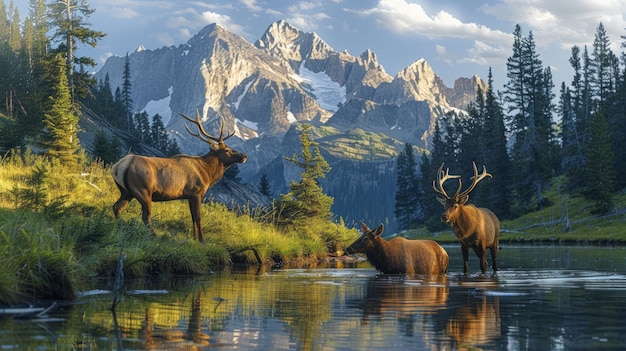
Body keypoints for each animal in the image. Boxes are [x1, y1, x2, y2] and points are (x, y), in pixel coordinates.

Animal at [111, 113, 247, 242]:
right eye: (227, 150)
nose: (244, 156)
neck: (207, 174)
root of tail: (118, 166)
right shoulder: (196, 193)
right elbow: (198, 217)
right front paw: (202, 240)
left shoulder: (189, 196)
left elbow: (192, 217)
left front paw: (194, 239)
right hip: (143, 190)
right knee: (145, 216)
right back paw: (154, 236)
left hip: (127, 191)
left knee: (117, 207)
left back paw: (120, 227)